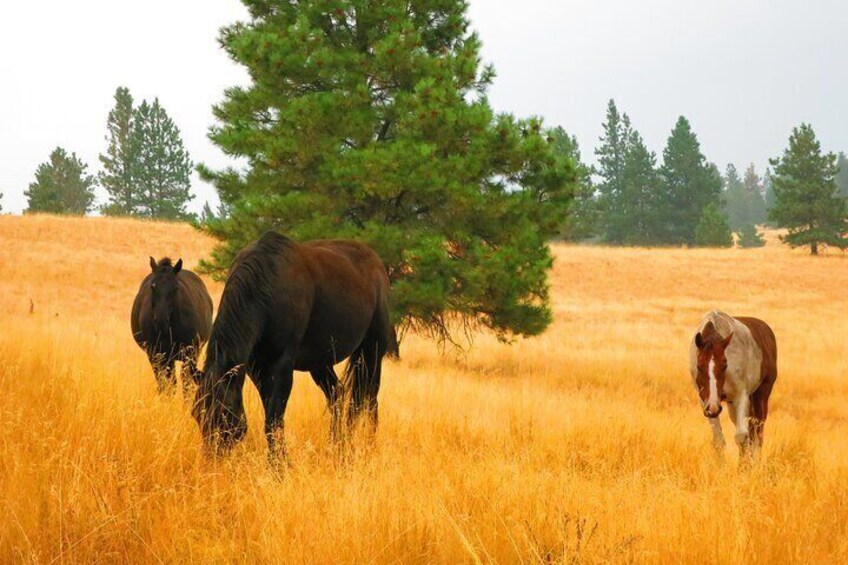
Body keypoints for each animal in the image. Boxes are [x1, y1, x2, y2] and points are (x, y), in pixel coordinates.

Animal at [132, 256, 215, 394]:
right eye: (153, 286)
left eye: (175, 288)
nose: (161, 321)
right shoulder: (155, 354)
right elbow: (165, 384)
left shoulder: (190, 353)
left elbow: (186, 382)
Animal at [194, 231, 400, 460]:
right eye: (196, 414)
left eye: (225, 411)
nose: (211, 457)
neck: (266, 284)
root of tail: (376, 261)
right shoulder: (257, 367)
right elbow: (271, 416)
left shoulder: (282, 365)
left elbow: (273, 420)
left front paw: (279, 464)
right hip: (321, 362)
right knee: (337, 395)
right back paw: (337, 446)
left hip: (372, 351)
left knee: (369, 399)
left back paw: (368, 444)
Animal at [688, 310, 776, 460]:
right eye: (699, 366)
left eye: (725, 365)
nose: (713, 407)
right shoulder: (706, 401)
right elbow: (719, 440)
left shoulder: (741, 396)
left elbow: (741, 437)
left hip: (761, 396)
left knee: (758, 433)